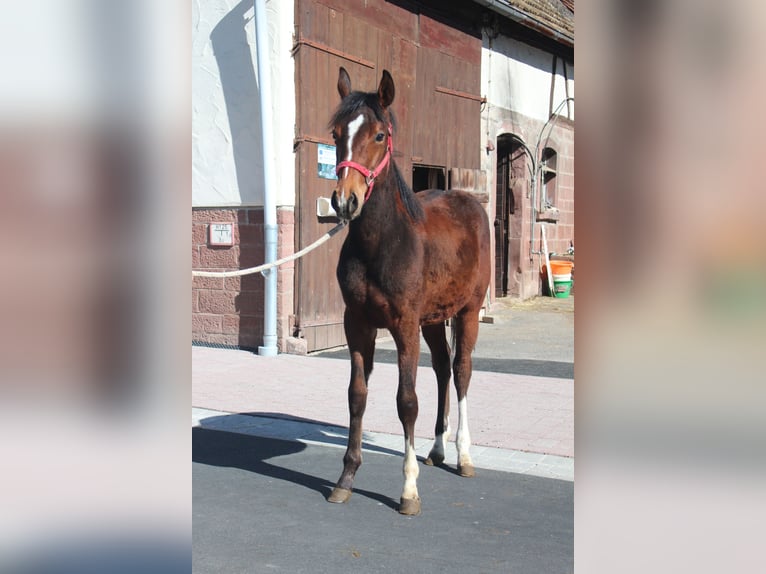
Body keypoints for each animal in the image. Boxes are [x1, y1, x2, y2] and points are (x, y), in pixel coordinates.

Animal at [327, 67, 491, 515]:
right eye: (336, 134)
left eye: (380, 135)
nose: (345, 201)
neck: (381, 242)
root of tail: (471, 202)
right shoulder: (357, 323)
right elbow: (357, 396)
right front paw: (346, 478)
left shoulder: (404, 325)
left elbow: (406, 402)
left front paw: (409, 490)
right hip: (433, 319)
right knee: (442, 368)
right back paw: (436, 448)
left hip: (467, 311)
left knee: (462, 370)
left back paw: (463, 455)